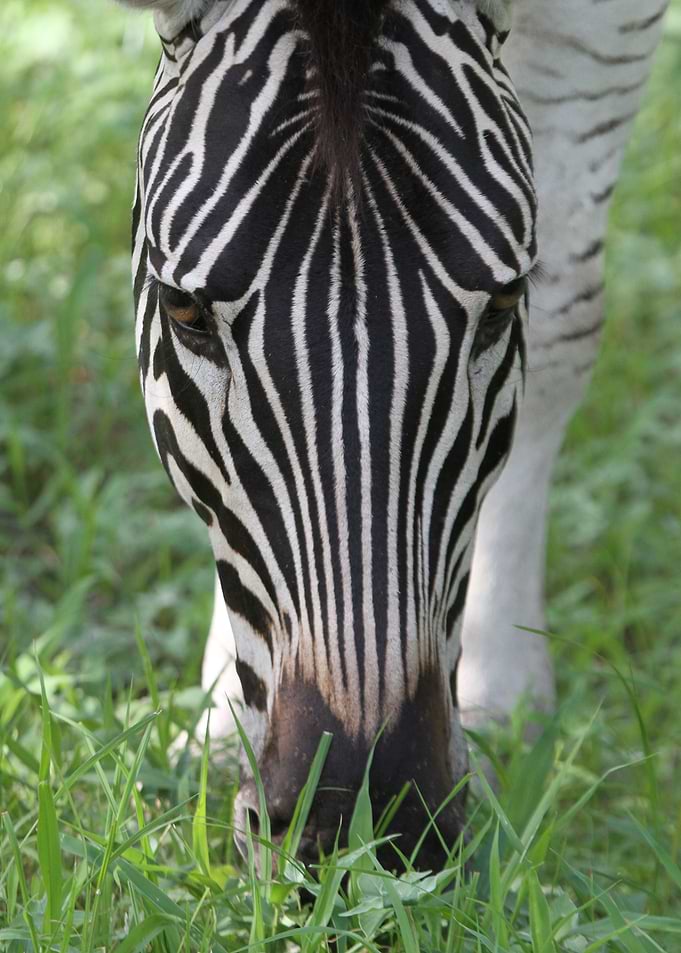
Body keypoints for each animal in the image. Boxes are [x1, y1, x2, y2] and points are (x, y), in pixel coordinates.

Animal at [117, 0, 667, 866]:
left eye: (504, 302)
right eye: (182, 311)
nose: (359, 817)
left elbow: (564, 319)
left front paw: (504, 695)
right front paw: (217, 723)